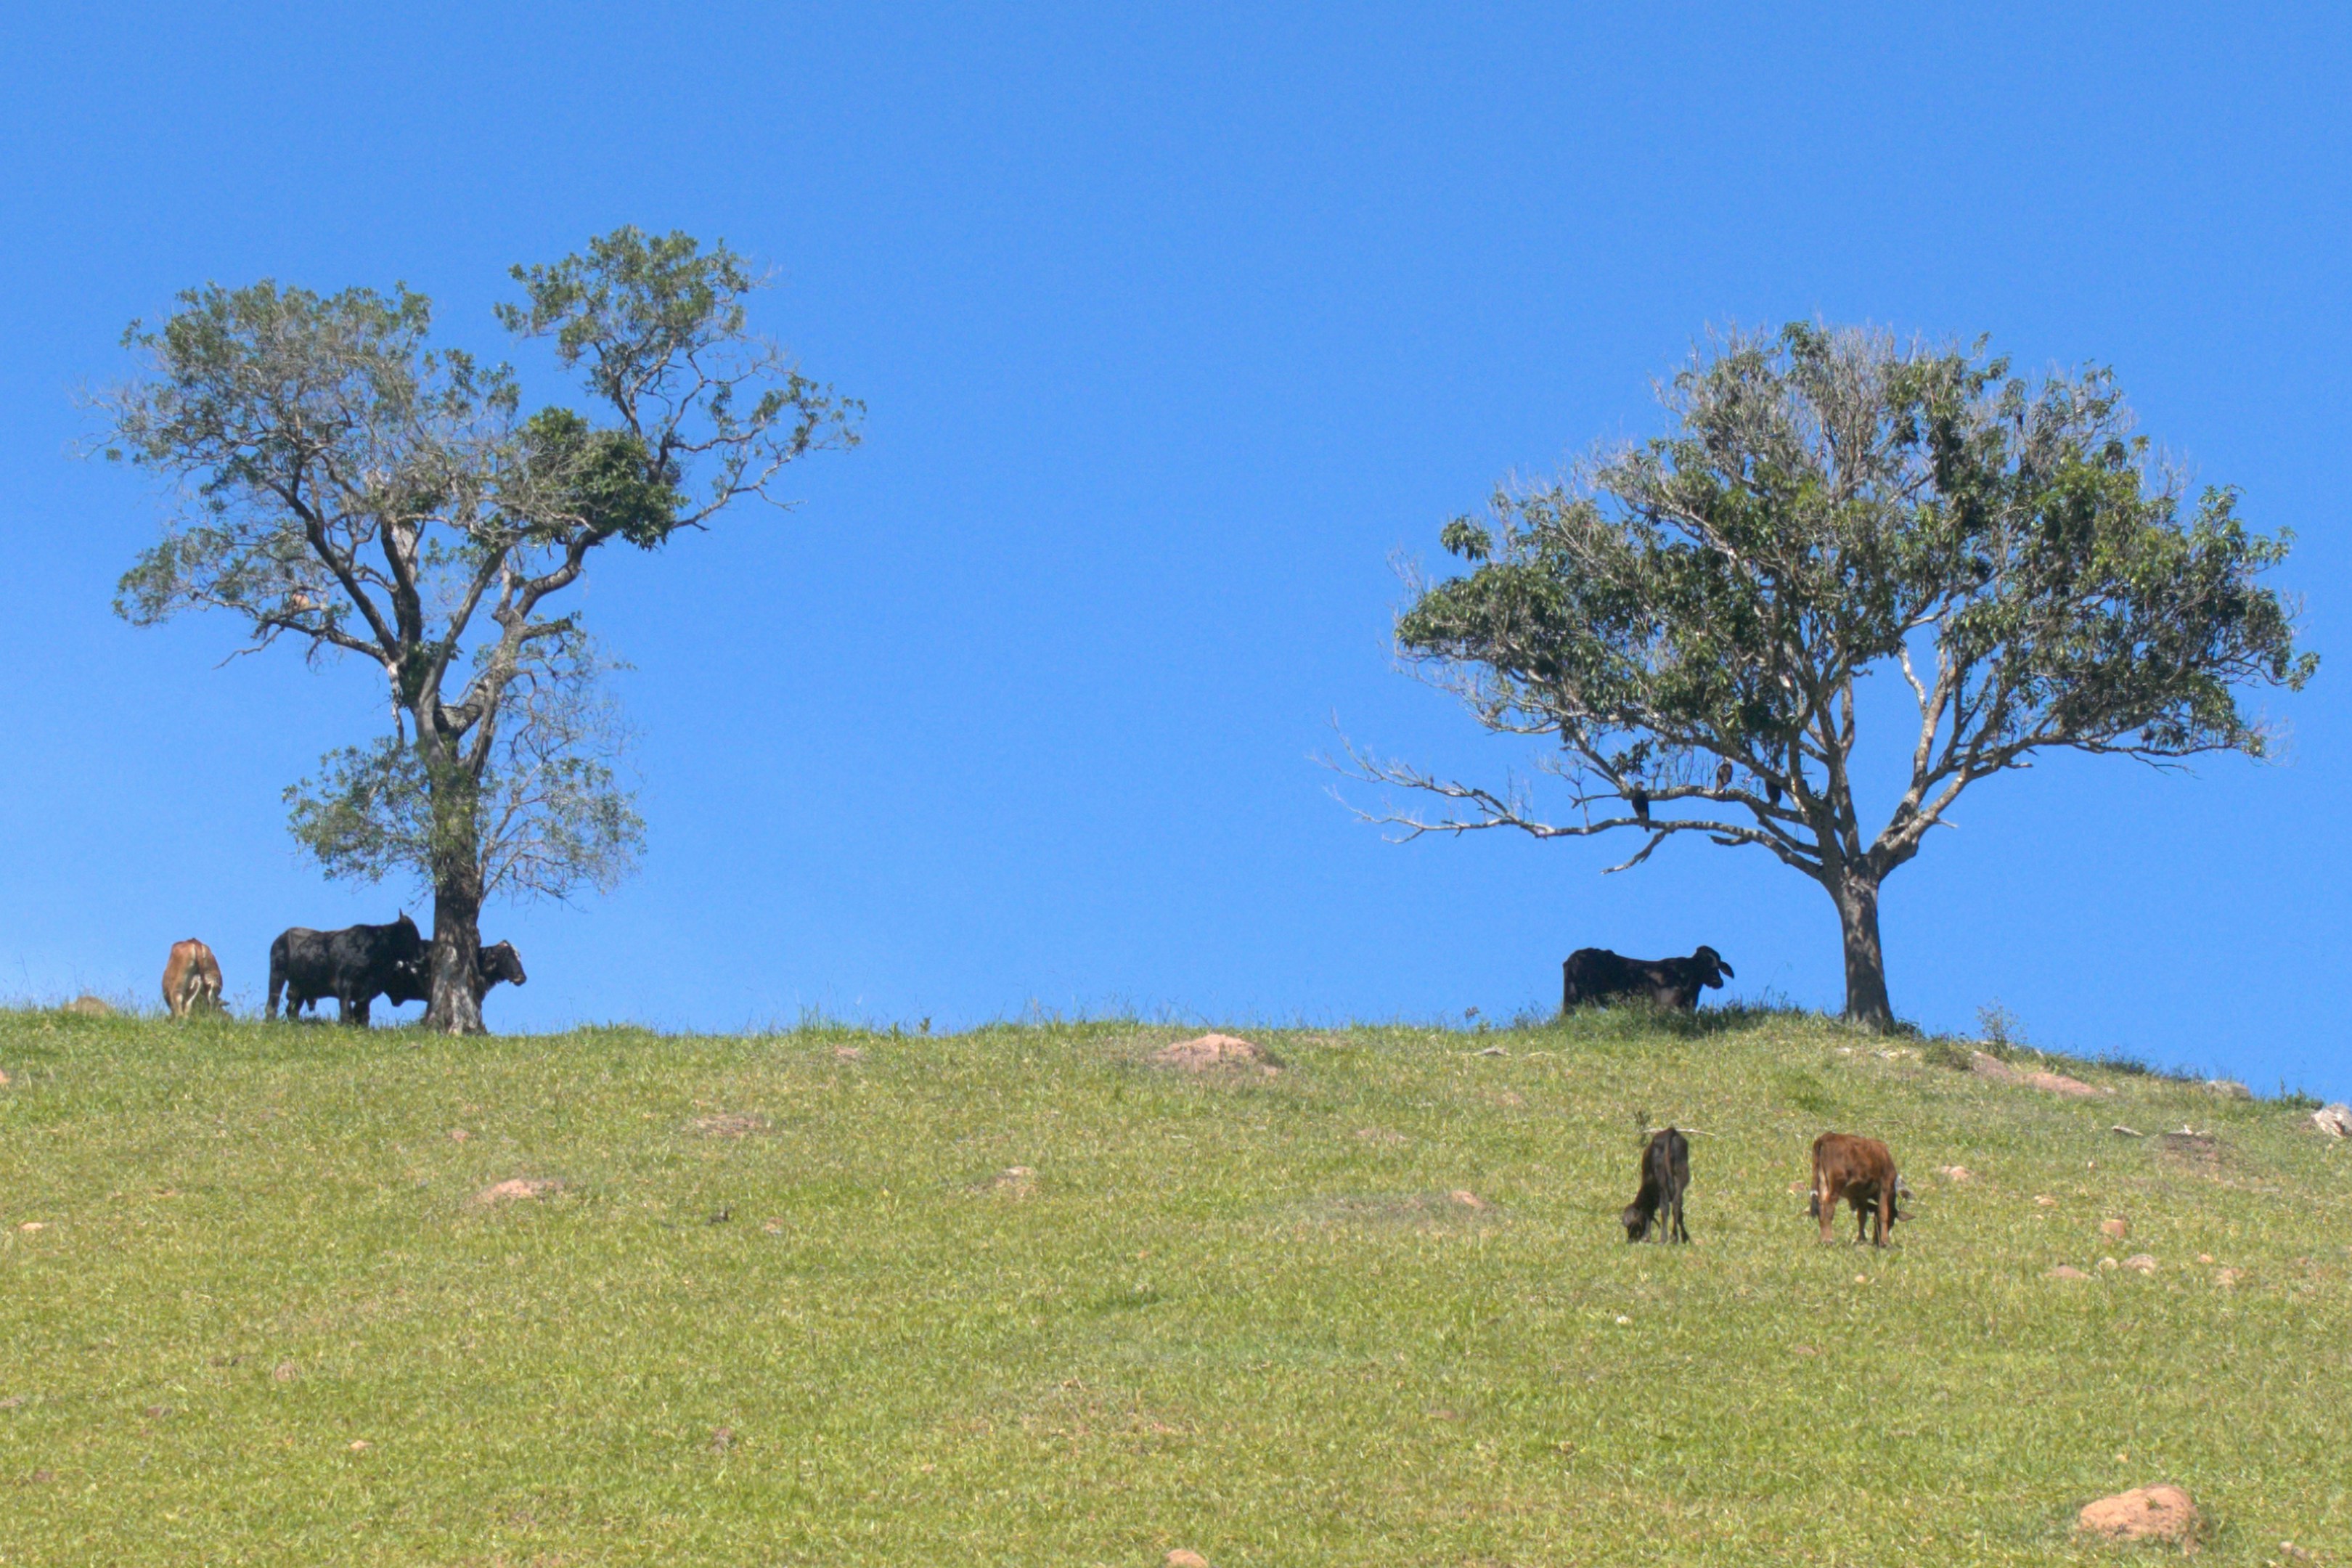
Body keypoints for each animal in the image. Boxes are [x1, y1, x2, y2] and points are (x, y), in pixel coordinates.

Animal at [266, 914, 427, 1026]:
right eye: (410, 936)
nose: (421, 957)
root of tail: (281, 937)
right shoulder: (345, 985)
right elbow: (346, 1013)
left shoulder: (366, 993)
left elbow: (363, 1015)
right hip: (277, 975)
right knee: (272, 1004)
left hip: (300, 987)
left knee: (292, 1011)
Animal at [1621, 1126, 1691, 1243]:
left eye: (1632, 1226)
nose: (1630, 1240)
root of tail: (1670, 1131)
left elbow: (1649, 1213)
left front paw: (1646, 1237)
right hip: (1681, 1175)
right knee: (1677, 1205)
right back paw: (1677, 1237)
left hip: (1662, 1180)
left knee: (1665, 1208)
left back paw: (1664, 1239)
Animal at [1809, 1132, 1907, 1246]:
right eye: (1892, 1223)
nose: (1876, 1241)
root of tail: (1828, 1136)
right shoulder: (1885, 1185)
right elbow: (1883, 1212)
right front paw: (1885, 1242)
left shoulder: (1861, 1194)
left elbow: (1862, 1216)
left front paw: (1861, 1239)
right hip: (1837, 1183)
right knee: (1828, 1208)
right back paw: (1828, 1240)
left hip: (1822, 1182)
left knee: (1821, 1207)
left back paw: (1823, 1239)